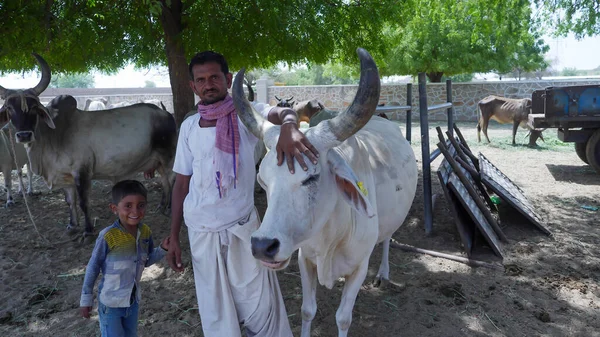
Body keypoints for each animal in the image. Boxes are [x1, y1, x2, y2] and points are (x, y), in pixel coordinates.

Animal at [0, 52, 178, 236]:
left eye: (34, 107)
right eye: (9, 108)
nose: (24, 135)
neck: (53, 135)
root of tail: (166, 113)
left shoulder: (82, 173)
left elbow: (84, 203)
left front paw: (88, 230)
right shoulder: (66, 177)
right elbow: (70, 201)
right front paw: (72, 225)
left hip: (169, 156)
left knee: (171, 179)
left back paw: (169, 208)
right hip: (157, 160)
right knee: (164, 181)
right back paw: (161, 206)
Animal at [232, 48, 420, 336]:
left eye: (311, 177)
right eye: (263, 180)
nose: (263, 246)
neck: (332, 234)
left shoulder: (359, 268)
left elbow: (343, 318)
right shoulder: (304, 259)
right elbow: (307, 310)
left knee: (388, 238)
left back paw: (383, 273)